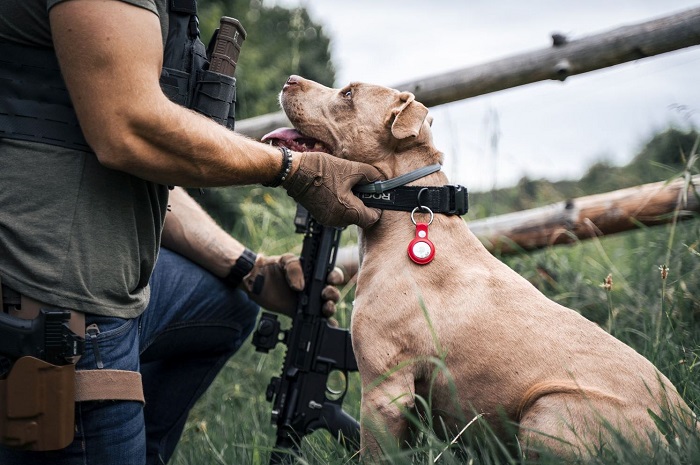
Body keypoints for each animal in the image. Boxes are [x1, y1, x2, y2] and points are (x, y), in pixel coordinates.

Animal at [264, 75, 700, 456]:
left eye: (349, 94)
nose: (289, 79)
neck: (405, 207)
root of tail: (686, 429)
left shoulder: (385, 391)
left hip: (547, 410)